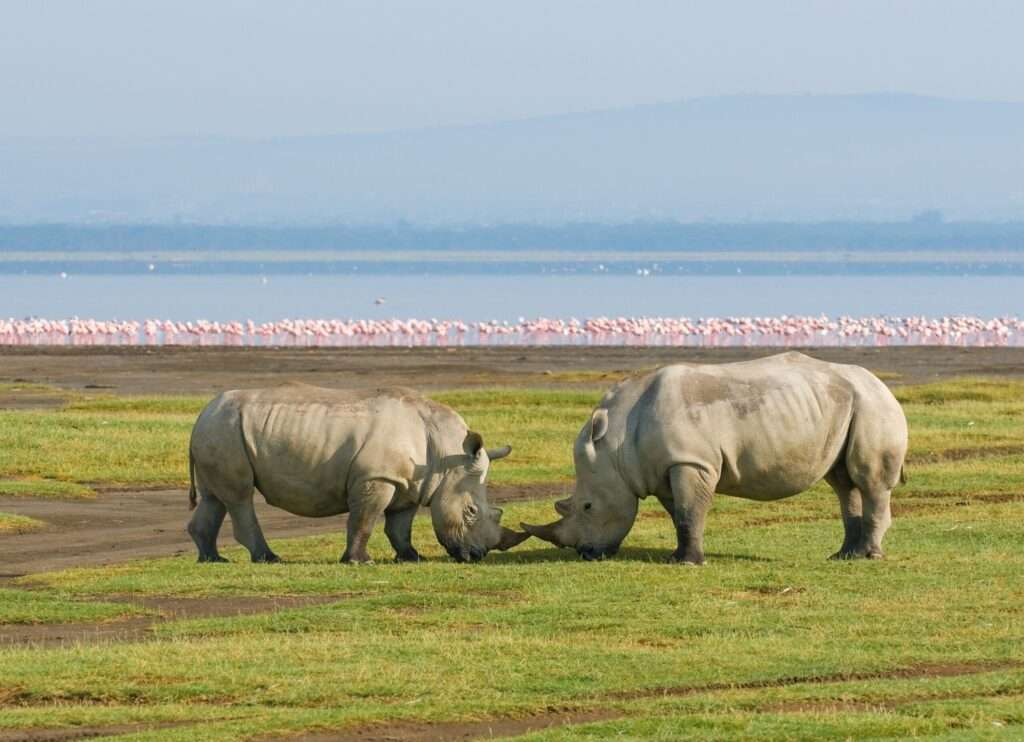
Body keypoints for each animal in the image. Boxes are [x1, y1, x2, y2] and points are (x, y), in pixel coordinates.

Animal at [187, 383, 529, 564]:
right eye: (471, 511)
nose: (477, 555)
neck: (447, 456)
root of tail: (202, 413)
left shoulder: (410, 483)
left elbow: (400, 526)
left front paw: (411, 557)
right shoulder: (376, 477)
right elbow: (364, 520)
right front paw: (359, 561)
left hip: (220, 429)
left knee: (214, 497)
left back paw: (212, 559)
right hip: (225, 429)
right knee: (240, 496)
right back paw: (269, 558)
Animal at [523, 352, 907, 563]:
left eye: (587, 506)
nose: (585, 553)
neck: (617, 444)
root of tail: (883, 385)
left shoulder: (691, 461)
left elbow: (689, 511)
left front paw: (688, 563)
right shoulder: (664, 467)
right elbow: (679, 514)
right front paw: (678, 556)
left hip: (873, 407)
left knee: (868, 480)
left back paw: (869, 556)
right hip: (847, 406)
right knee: (843, 482)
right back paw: (844, 556)